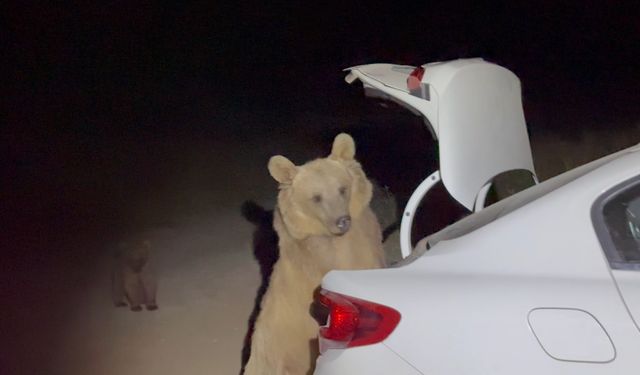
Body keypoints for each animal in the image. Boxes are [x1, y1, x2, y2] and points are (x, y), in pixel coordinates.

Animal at [245, 134, 384, 375]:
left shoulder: (364, 242)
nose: (342, 221)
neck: (333, 242)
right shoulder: (311, 267)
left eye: (342, 188)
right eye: (316, 197)